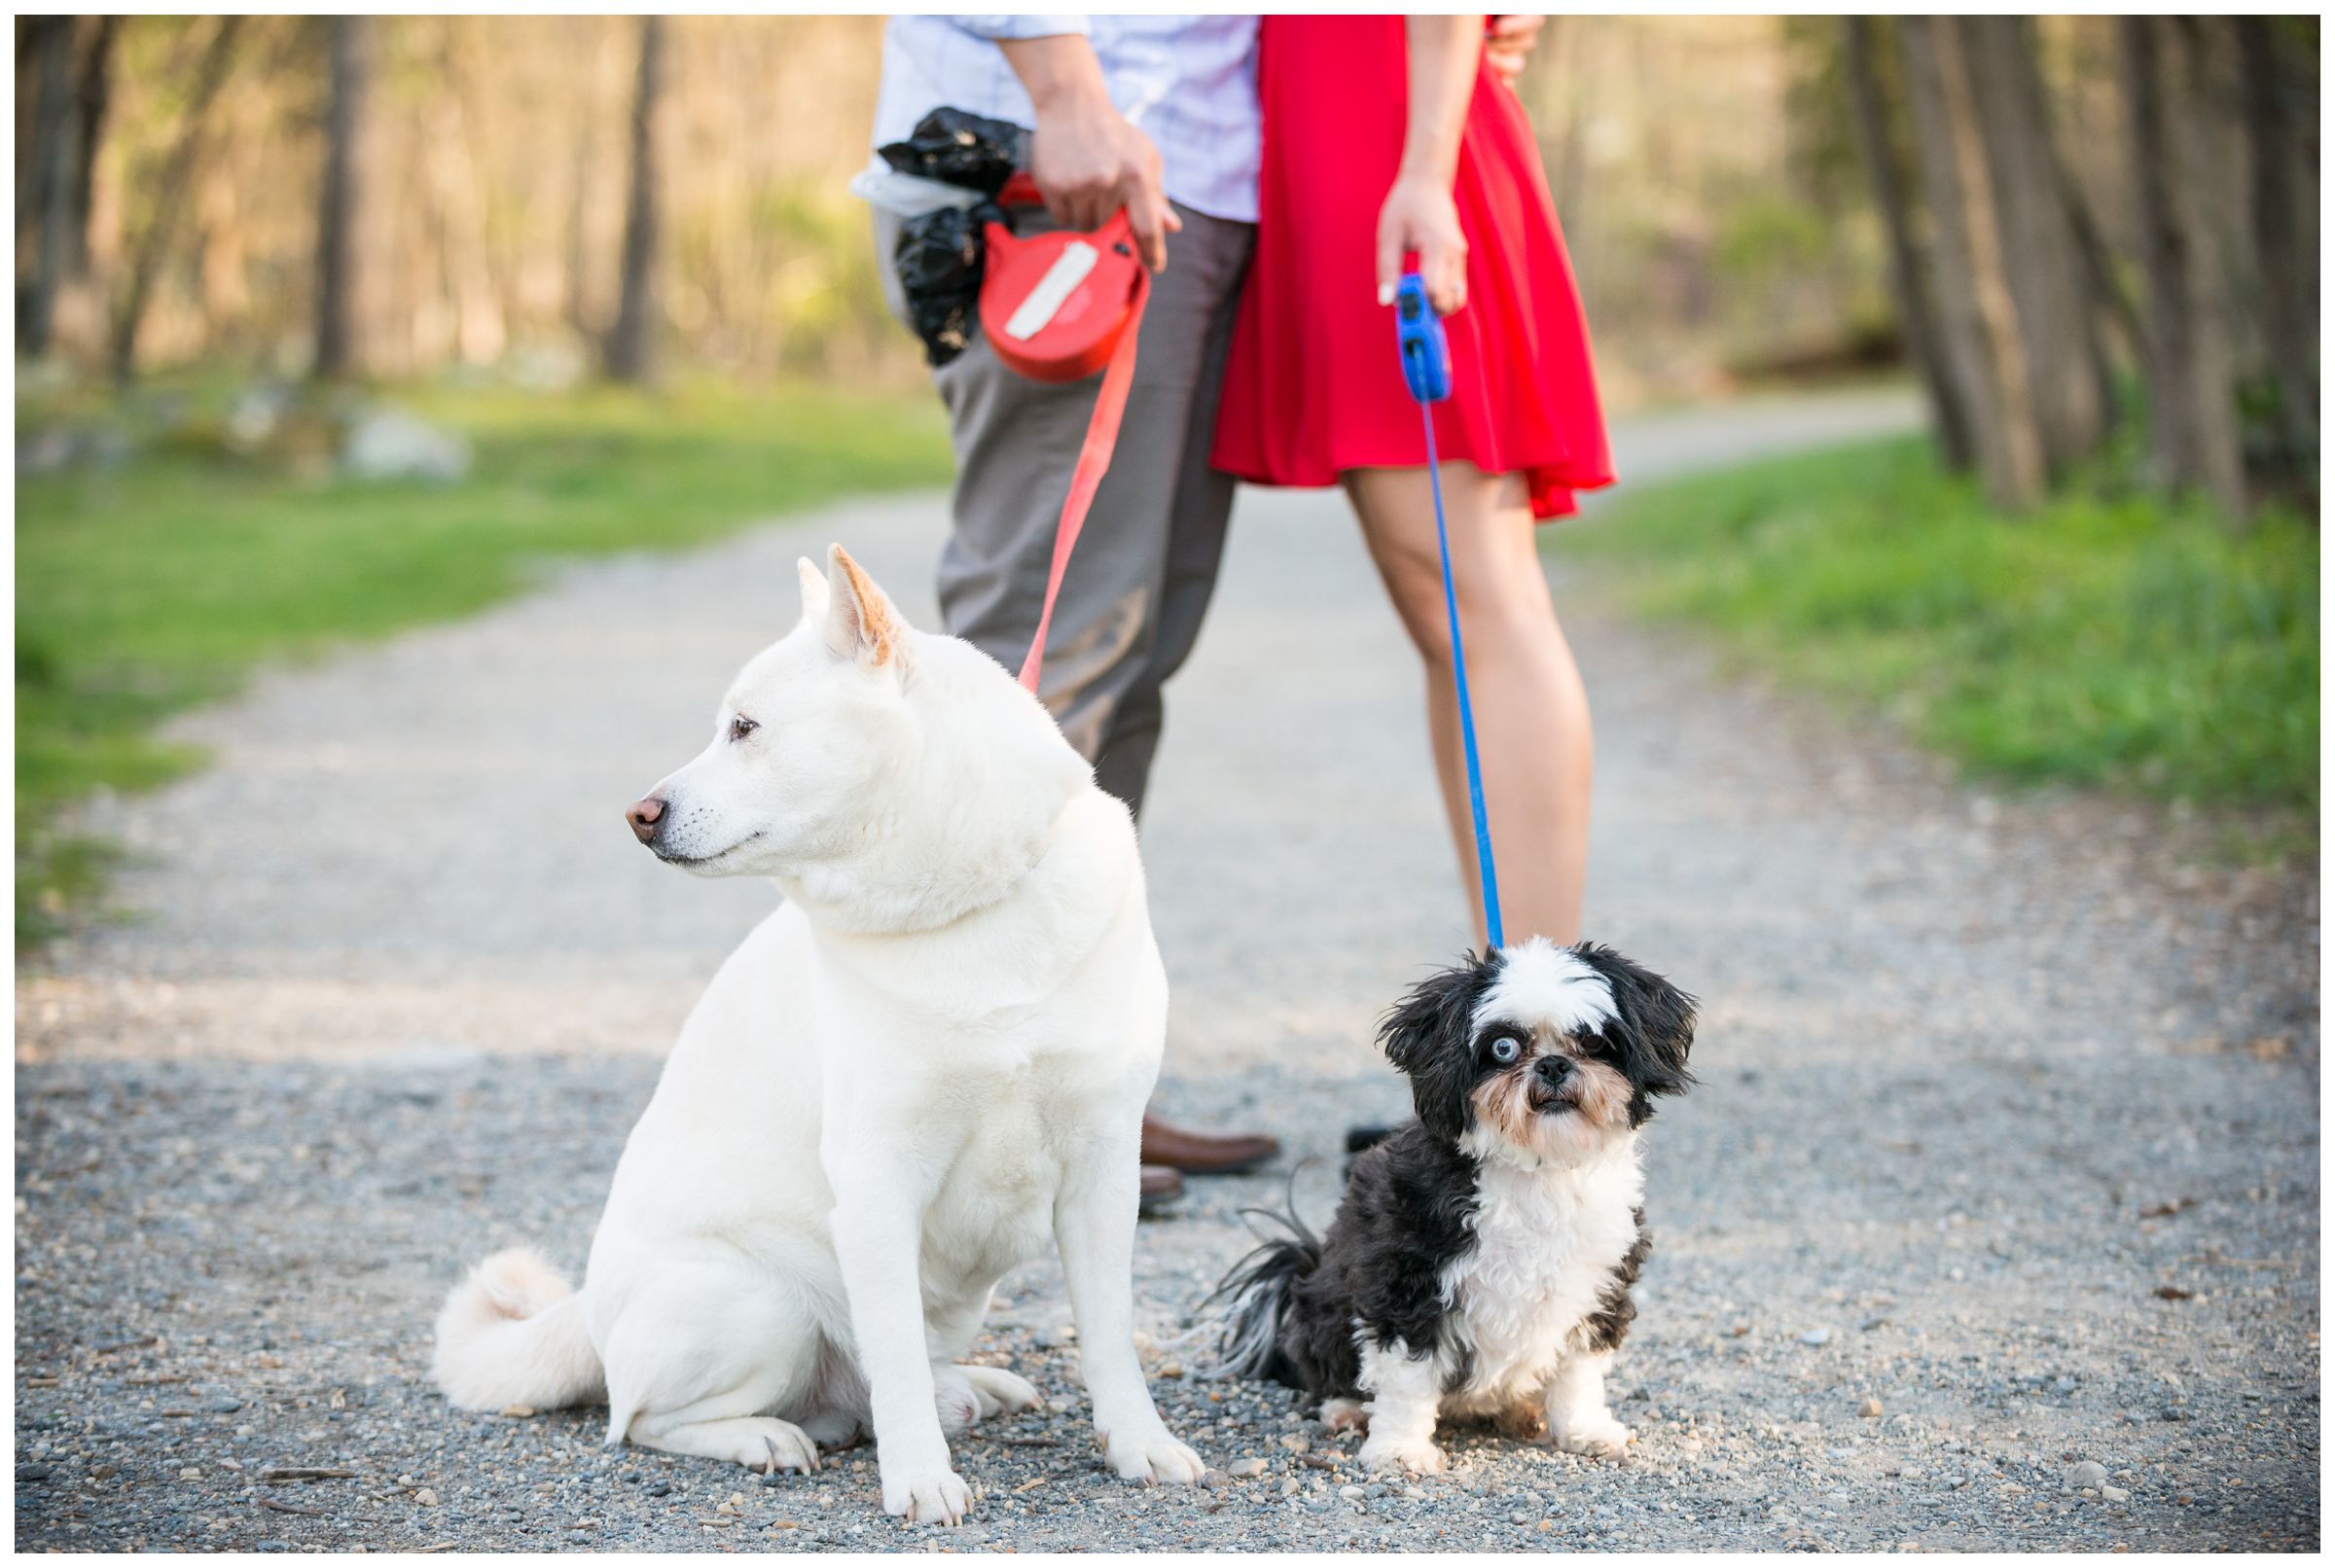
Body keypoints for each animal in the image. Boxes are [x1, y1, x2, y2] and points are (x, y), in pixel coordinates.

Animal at [429, 548, 1204, 1521]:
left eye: (745, 728)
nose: (639, 814)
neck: (969, 917)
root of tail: (589, 1308)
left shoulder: (1105, 1168)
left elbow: (1108, 1337)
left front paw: (1139, 1445)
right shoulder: (878, 1180)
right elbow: (895, 1358)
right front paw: (920, 1481)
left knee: (866, 1387)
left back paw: (967, 1391)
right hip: (766, 1308)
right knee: (645, 1419)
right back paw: (767, 1436)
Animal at [1214, 943, 1690, 1475]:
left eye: (1591, 1041)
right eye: (1503, 1048)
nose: (1552, 1065)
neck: (1537, 1167)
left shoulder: (1599, 1287)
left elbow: (1579, 1373)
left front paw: (1584, 1430)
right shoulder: (1406, 1286)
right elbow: (1406, 1378)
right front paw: (1400, 1449)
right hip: (1326, 1309)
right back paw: (1347, 1409)